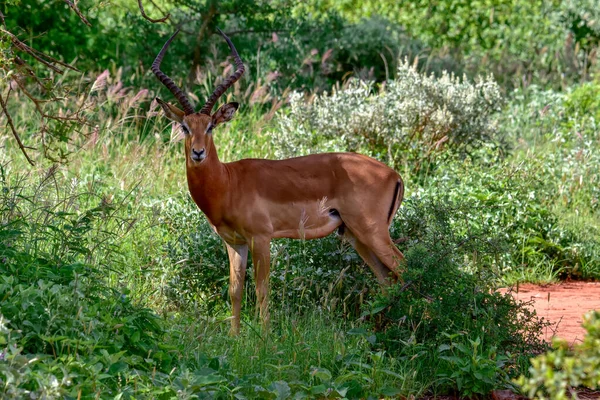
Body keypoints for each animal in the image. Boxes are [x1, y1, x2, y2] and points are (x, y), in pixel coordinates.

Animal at [152, 28, 406, 334]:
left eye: (211, 126)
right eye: (185, 126)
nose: (198, 153)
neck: (228, 183)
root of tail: (394, 174)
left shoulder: (261, 238)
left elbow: (262, 289)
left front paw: (264, 336)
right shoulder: (234, 243)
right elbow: (235, 290)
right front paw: (234, 337)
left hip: (373, 232)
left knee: (406, 270)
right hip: (356, 237)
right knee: (387, 281)